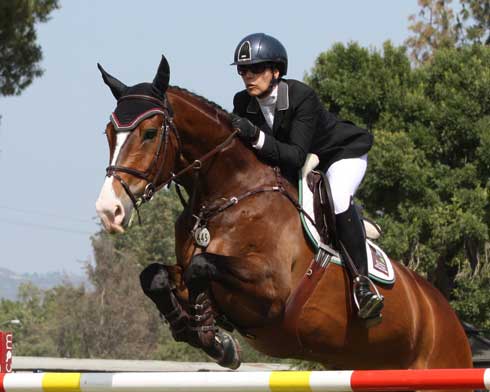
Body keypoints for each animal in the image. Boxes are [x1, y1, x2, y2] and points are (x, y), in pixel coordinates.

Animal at [94, 55, 472, 386]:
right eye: (109, 132)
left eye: (149, 133)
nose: (109, 210)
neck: (230, 194)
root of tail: (447, 315)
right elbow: (155, 276)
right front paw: (202, 333)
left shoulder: (271, 290)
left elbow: (201, 266)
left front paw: (213, 337)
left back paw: (367, 295)